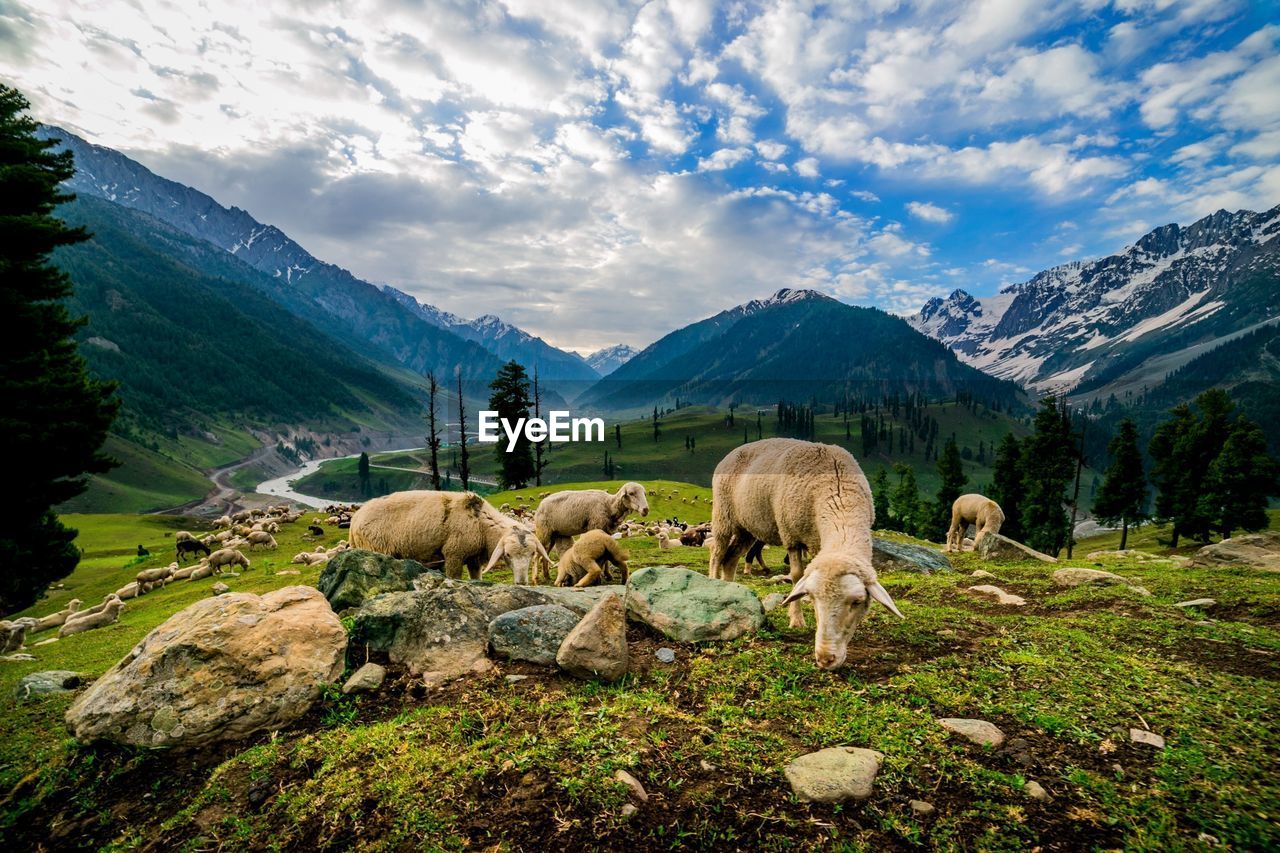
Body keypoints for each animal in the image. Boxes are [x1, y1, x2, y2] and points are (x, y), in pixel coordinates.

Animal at [350, 489, 550, 581]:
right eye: (508, 554)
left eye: (532, 554)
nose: (522, 582)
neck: (482, 525)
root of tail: (354, 521)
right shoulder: (454, 554)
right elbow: (455, 577)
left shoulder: (473, 559)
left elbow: (476, 578)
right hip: (376, 550)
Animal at [706, 438, 906, 671]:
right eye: (813, 597)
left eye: (857, 602)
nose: (825, 659)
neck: (837, 487)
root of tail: (732, 453)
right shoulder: (791, 537)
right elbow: (796, 576)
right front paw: (796, 620)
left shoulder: (818, 542)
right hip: (723, 515)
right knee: (717, 553)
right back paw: (713, 584)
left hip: (747, 526)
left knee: (730, 559)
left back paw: (730, 591)